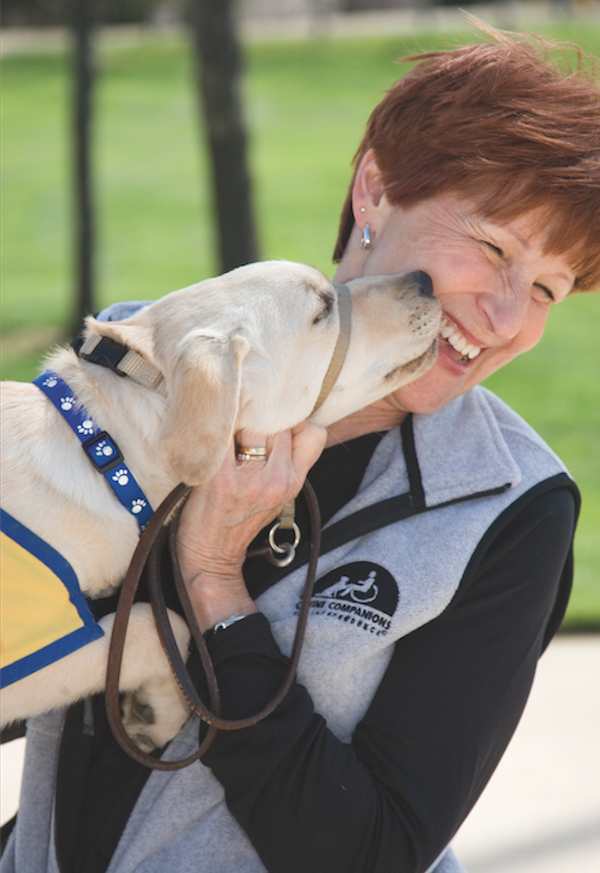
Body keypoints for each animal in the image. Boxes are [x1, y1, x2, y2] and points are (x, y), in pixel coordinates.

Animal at [0, 258, 440, 748]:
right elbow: (160, 627)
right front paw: (160, 714)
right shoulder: (37, 650)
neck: (106, 454)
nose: (425, 279)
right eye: (323, 309)